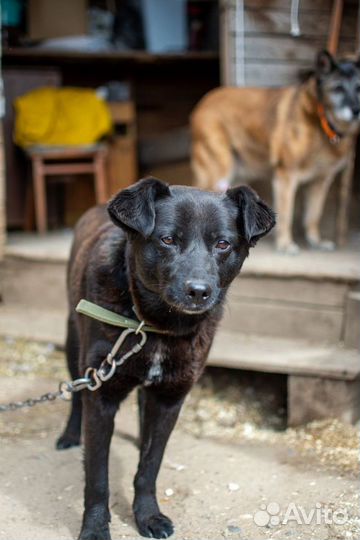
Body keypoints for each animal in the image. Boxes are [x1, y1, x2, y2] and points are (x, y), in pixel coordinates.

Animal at [57, 175, 274, 536]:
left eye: (223, 244)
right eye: (168, 239)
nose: (198, 291)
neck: (155, 326)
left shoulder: (170, 398)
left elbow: (150, 466)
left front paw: (147, 516)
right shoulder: (102, 396)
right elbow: (98, 478)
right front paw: (95, 529)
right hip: (75, 347)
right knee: (76, 396)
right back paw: (70, 435)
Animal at [191, 50, 360, 253]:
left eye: (359, 88)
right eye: (338, 89)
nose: (356, 110)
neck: (321, 123)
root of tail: (206, 99)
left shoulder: (320, 182)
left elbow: (313, 215)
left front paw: (315, 241)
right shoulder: (286, 176)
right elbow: (287, 214)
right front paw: (286, 244)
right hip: (219, 170)